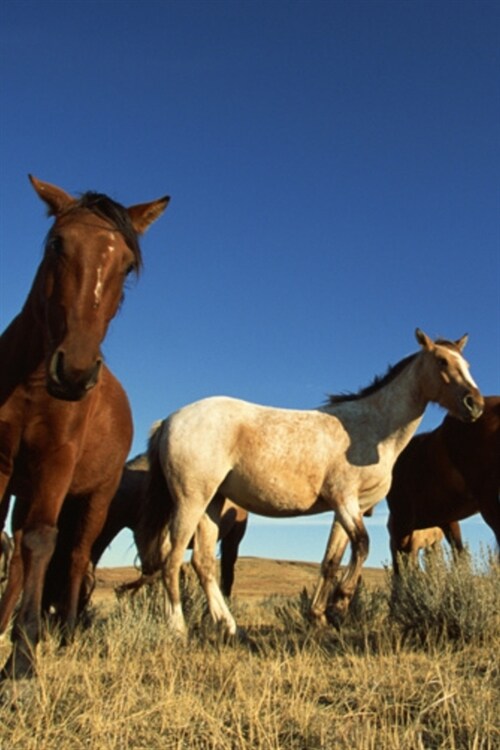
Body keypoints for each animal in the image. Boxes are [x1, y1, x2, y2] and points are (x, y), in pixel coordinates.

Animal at [0, 178, 169, 680]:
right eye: (58, 244)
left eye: (127, 265)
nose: (74, 372)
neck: (33, 383)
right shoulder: (2, 461)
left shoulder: (57, 463)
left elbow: (44, 542)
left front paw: (23, 658)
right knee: (21, 550)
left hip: (94, 497)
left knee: (75, 556)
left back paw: (68, 630)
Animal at [139, 330, 482, 640]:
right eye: (441, 361)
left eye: (466, 363)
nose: (475, 404)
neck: (371, 428)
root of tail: (168, 420)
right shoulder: (344, 500)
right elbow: (362, 546)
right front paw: (339, 605)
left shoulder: (349, 508)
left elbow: (331, 561)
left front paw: (319, 615)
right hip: (191, 501)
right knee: (172, 561)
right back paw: (178, 629)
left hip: (212, 503)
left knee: (203, 563)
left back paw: (231, 627)